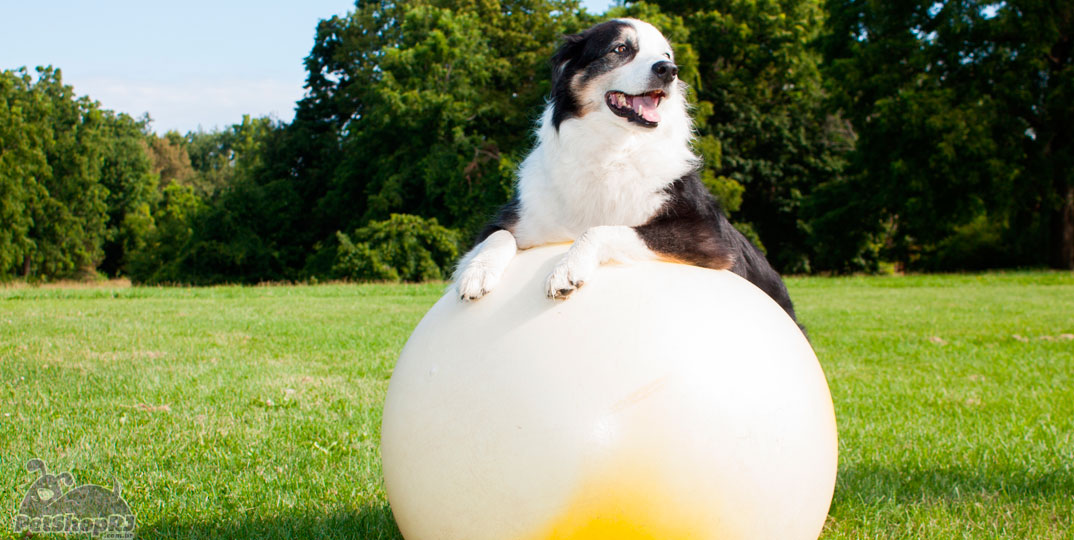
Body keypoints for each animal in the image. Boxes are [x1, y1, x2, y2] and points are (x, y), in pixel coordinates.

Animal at [451, 19, 799, 326]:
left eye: (667, 55)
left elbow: (604, 229)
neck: (613, 149)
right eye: (621, 49)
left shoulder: (708, 237)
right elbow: (497, 235)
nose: (668, 70)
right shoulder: (517, 216)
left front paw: (568, 267)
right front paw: (476, 272)